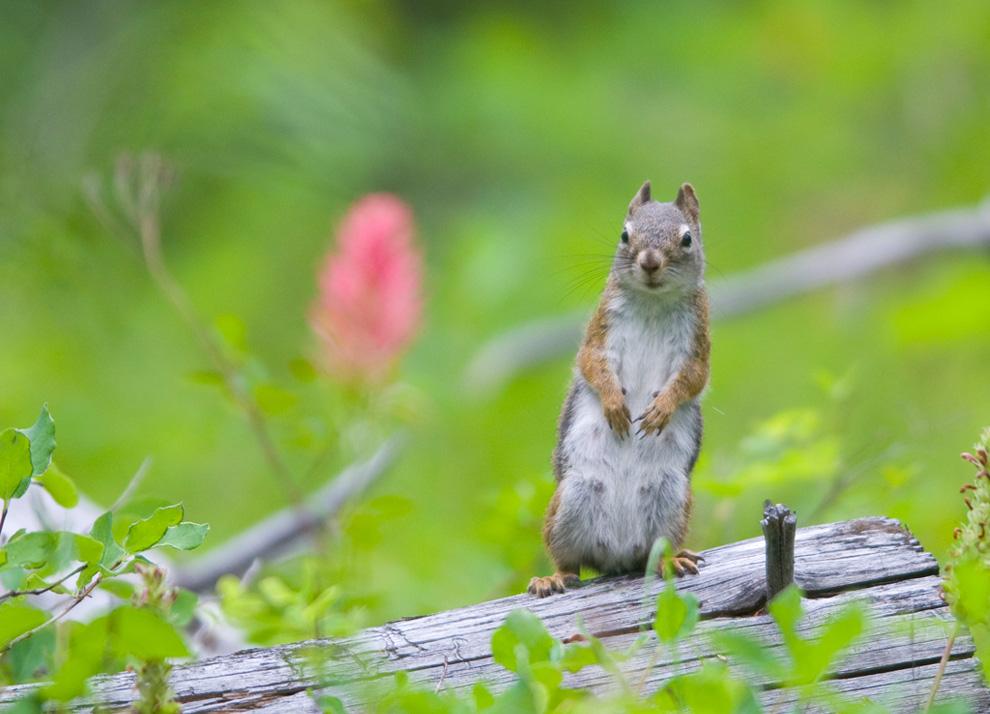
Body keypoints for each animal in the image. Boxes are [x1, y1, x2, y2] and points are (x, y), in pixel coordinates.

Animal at [532, 182, 708, 596]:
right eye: (625, 235)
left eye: (687, 239)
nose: (649, 262)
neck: (653, 301)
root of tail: (617, 556)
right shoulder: (600, 330)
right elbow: (592, 365)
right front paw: (613, 404)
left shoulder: (699, 342)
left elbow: (693, 378)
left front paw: (663, 408)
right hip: (570, 501)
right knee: (570, 563)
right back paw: (553, 577)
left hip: (671, 499)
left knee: (656, 552)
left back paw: (671, 560)